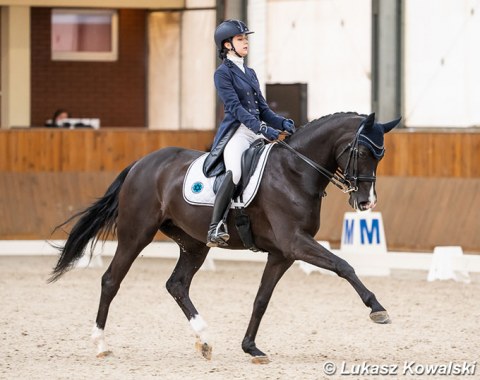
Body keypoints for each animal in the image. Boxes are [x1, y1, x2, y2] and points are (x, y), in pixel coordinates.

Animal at [50, 111, 400, 364]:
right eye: (362, 151)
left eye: (381, 155)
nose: (367, 203)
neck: (295, 171)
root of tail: (140, 164)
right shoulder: (295, 243)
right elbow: (344, 266)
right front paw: (377, 308)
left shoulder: (282, 254)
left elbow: (261, 299)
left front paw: (251, 347)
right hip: (136, 234)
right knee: (111, 280)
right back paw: (100, 344)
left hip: (193, 243)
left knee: (177, 284)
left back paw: (204, 339)